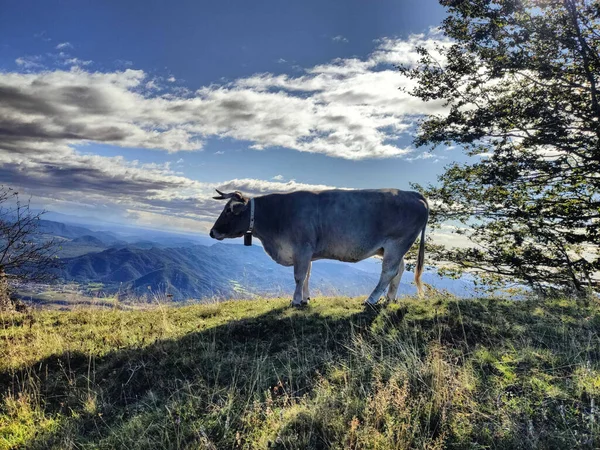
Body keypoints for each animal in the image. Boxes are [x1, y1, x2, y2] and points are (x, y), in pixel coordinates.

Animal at [209, 188, 428, 308]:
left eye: (229, 210)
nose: (212, 232)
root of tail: (412, 194)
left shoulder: (302, 248)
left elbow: (299, 276)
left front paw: (296, 300)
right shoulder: (306, 253)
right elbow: (307, 275)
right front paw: (306, 298)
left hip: (397, 242)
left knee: (388, 271)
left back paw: (371, 299)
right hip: (394, 247)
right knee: (399, 270)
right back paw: (390, 298)